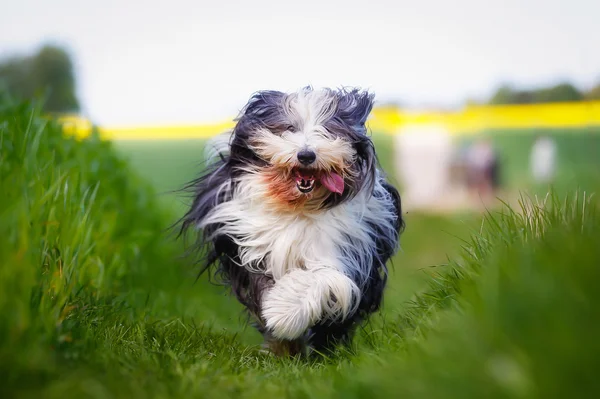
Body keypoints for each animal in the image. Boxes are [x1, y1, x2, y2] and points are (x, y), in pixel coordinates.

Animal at [178, 86, 404, 356]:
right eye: (288, 128)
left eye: (328, 130)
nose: (306, 155)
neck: (299, 207)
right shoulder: (253, 248)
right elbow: (261, 288)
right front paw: (280, 337)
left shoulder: (345, 251)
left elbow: (320, 279)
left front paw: (284, 313)